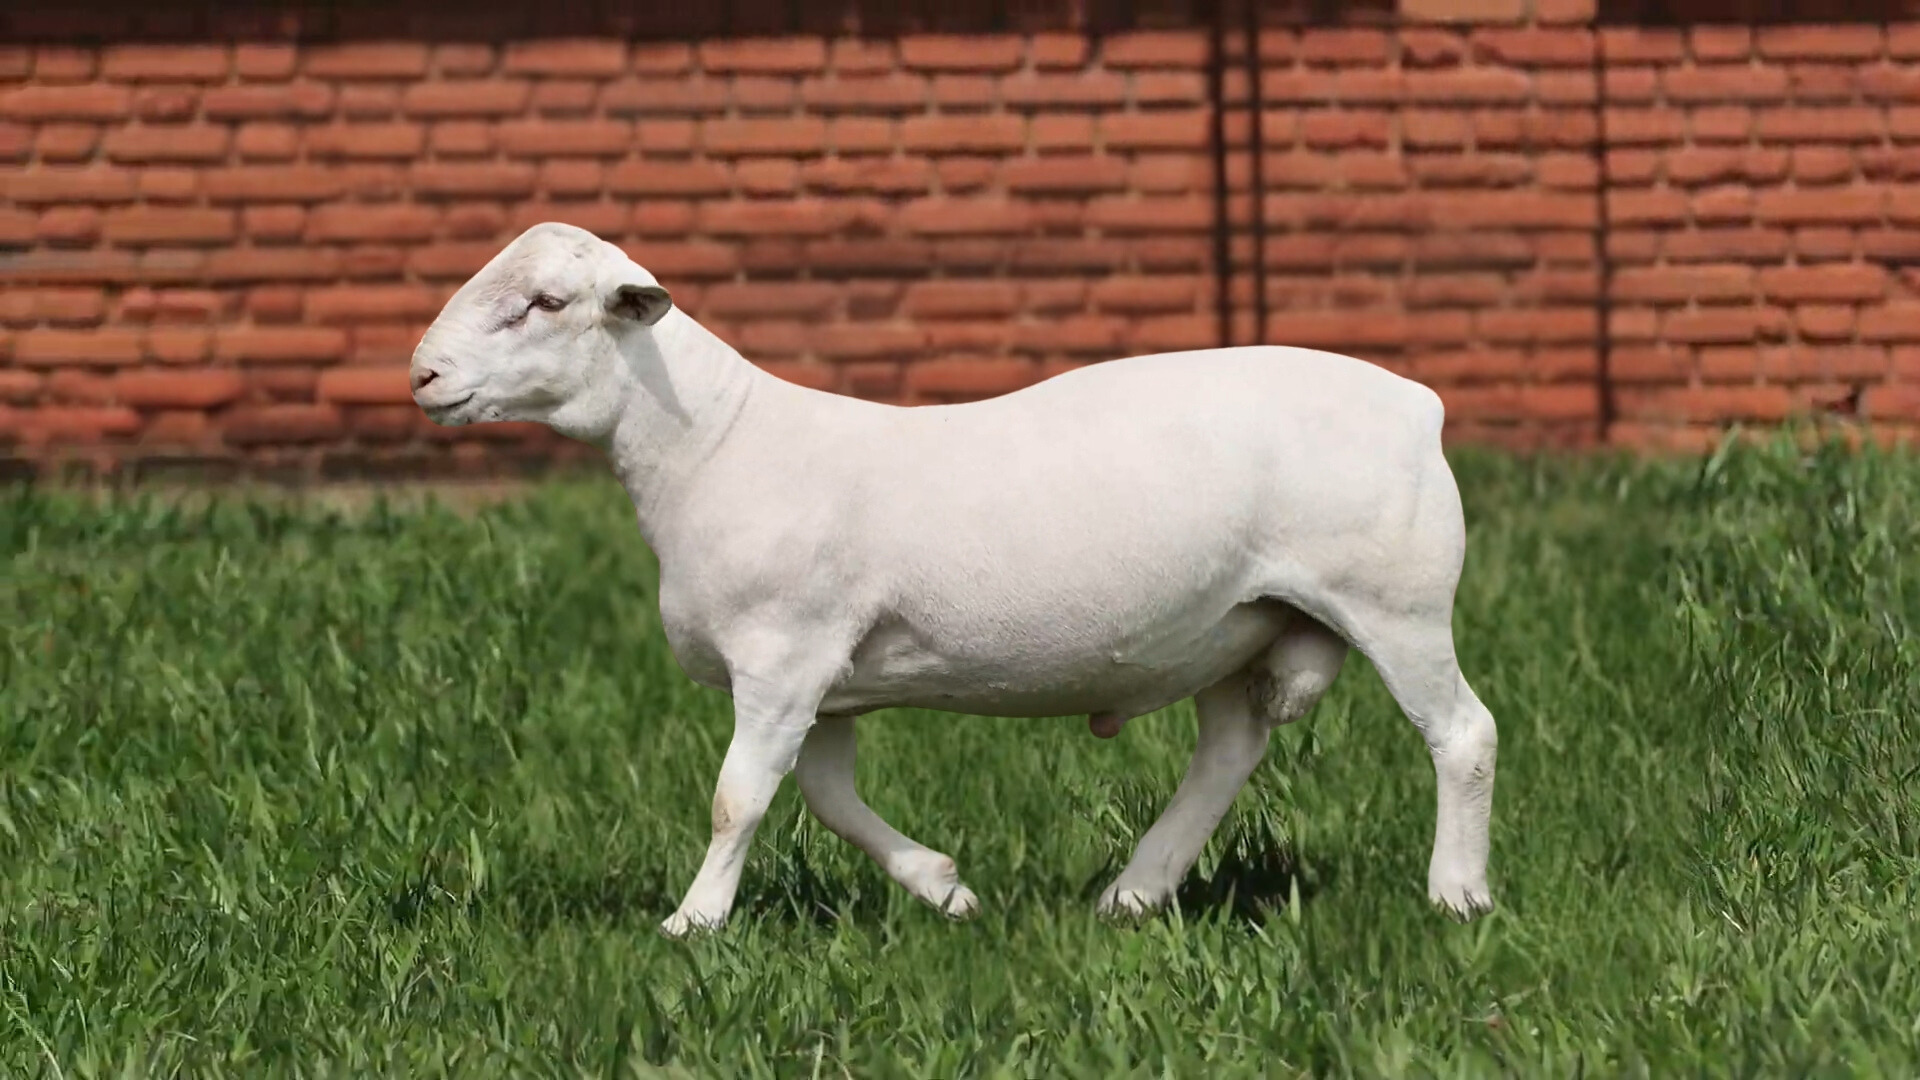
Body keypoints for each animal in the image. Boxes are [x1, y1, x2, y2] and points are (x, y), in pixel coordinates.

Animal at [410, 222, 1499, 938]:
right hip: (1242, 619)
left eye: (547, 304)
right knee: (1228, 750)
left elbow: (739, 799)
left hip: (1396, 601)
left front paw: (694, 926)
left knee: (1464, 736)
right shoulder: (823, 681)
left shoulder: (782, 657)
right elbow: (825, 796)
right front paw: (945, 888)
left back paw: (1457, 896)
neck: (713, 441)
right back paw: (1133, 895)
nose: (422, 375)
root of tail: (1418, 402)